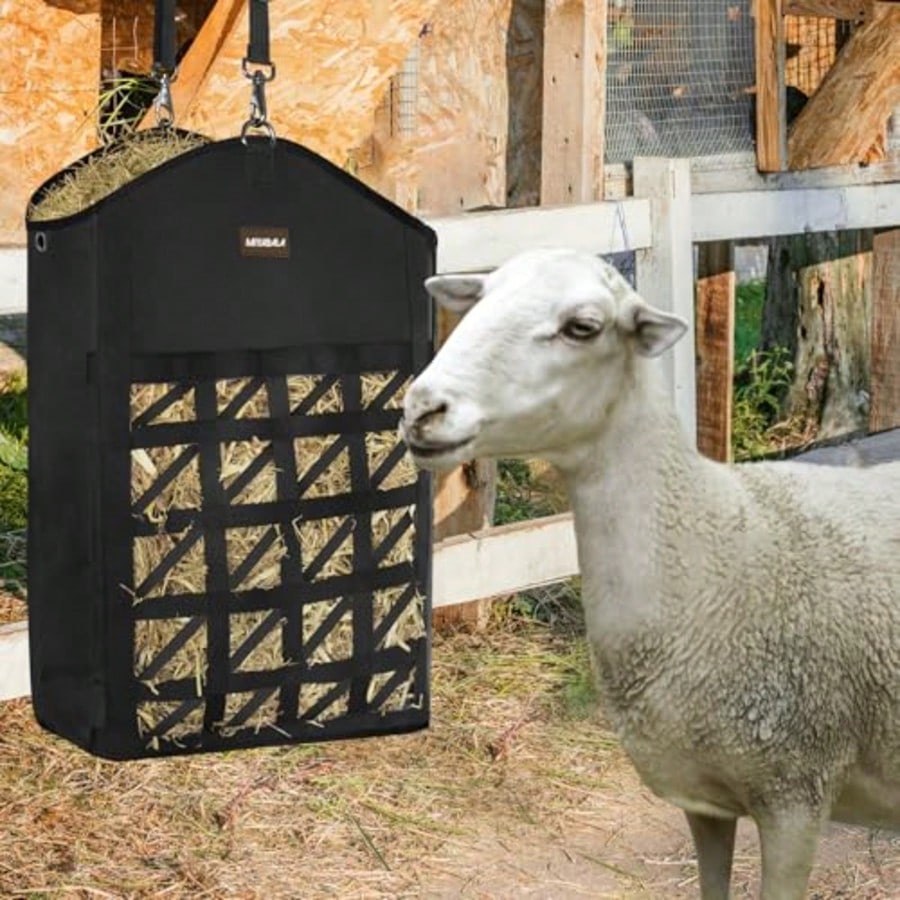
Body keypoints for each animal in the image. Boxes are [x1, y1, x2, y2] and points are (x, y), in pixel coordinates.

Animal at [400, 247, 900, 900]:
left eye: (583, 327)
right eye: (479, 299)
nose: (422, 409)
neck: (708, 547)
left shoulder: (798, 788)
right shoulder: (703, 798)